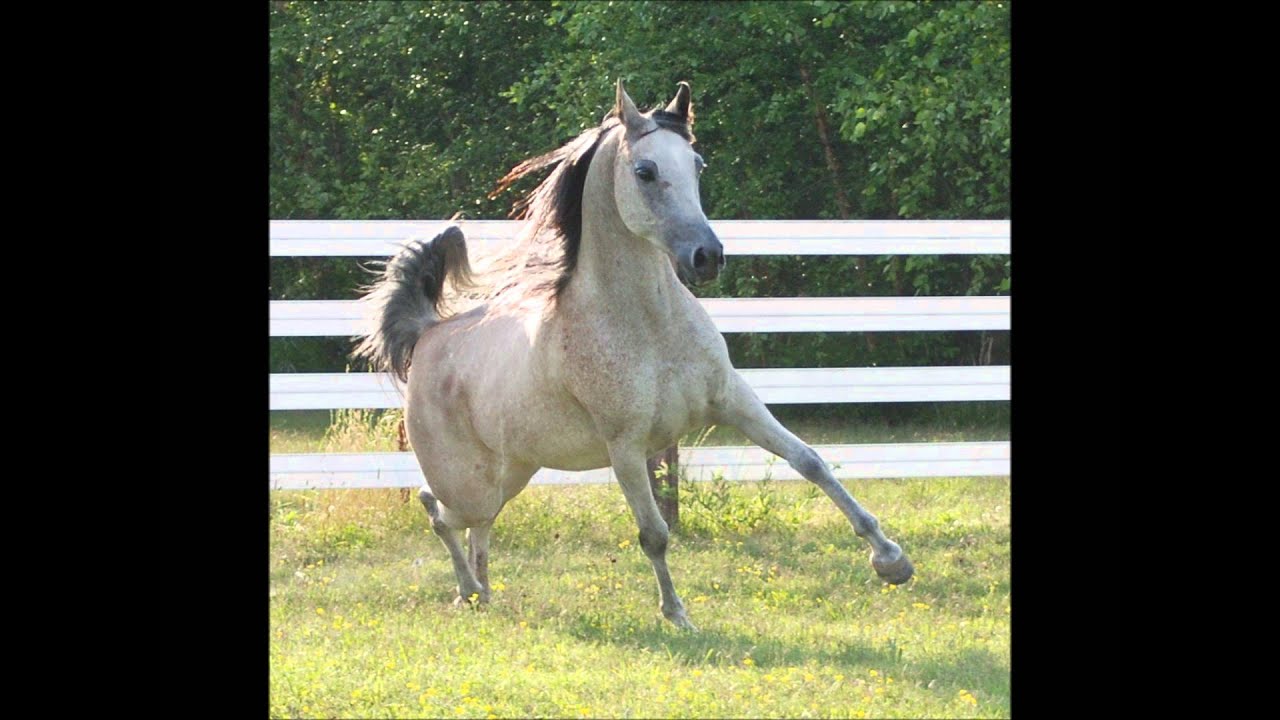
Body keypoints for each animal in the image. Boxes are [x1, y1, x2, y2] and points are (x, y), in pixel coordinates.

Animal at [354, 80, 913, 630]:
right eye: (645, 171)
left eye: (698, 164)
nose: (707, 257)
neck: (650, 327)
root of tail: (429, 333)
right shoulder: (626, 446)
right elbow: (654, 533)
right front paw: (677, 615)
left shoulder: (735, 402)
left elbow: (811, 462)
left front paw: (891, 561)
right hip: (467, 479)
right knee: (437, 509)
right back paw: (469, 590)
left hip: (510, 474)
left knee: (476, 525)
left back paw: (482, 592)